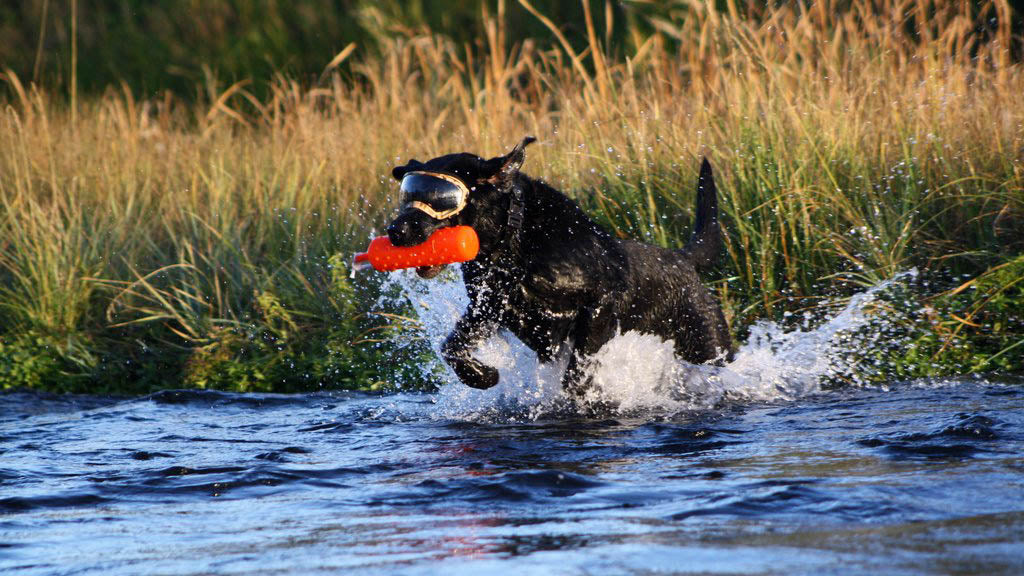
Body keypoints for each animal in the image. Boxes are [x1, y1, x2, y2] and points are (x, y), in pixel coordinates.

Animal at [387, 139, 733, 393]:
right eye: (407, 194)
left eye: (442, 198)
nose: (395, 231)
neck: (511, 245)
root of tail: (684, 259)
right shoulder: (489, 308)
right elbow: (452, 347)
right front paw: (481, 376)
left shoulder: (600, 303)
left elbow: (579, 367)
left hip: (708, 346)